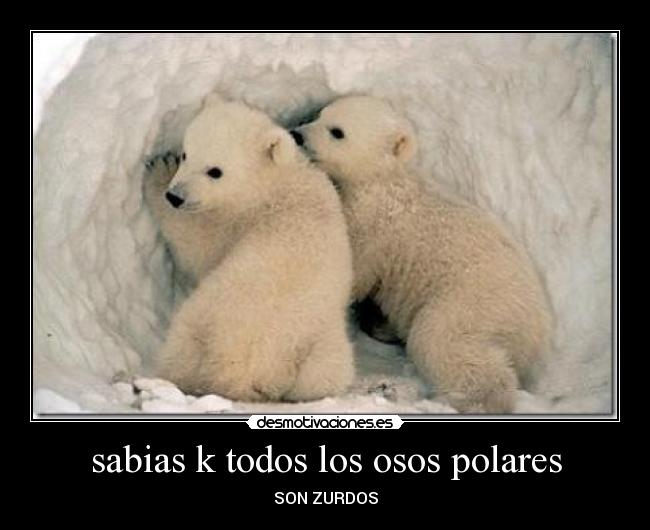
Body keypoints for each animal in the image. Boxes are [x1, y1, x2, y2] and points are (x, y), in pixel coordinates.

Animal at [144, 98, 355, 402]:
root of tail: (243, 372)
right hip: (321, 351)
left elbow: (198, 246)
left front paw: (159, 170)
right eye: (186, 154)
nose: (175, 196)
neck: (274, 183)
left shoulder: (235, 222)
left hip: (205, 317)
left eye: (215, 171)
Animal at [293, 95, 553, 413]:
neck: (383, 181)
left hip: (473, 303)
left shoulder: (376, 226)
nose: (298, 134)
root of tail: (536, 328)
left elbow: (355, 269)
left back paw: (475, 401)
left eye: (337, 131)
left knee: (441, 340)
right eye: (319, 115)